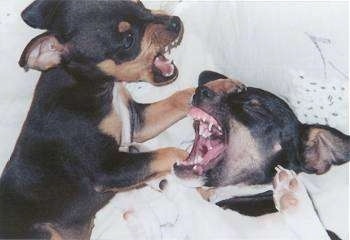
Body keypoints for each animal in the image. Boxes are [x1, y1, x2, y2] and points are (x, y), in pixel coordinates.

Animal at [0, 0, 194, 239]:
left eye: (140, 5)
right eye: (128, 40)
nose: (176, 22)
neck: (92, 85)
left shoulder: (136, 121)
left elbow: (180, 98)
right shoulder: (106, 169)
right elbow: (166, 153)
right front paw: (195, 160)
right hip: (43, 232)